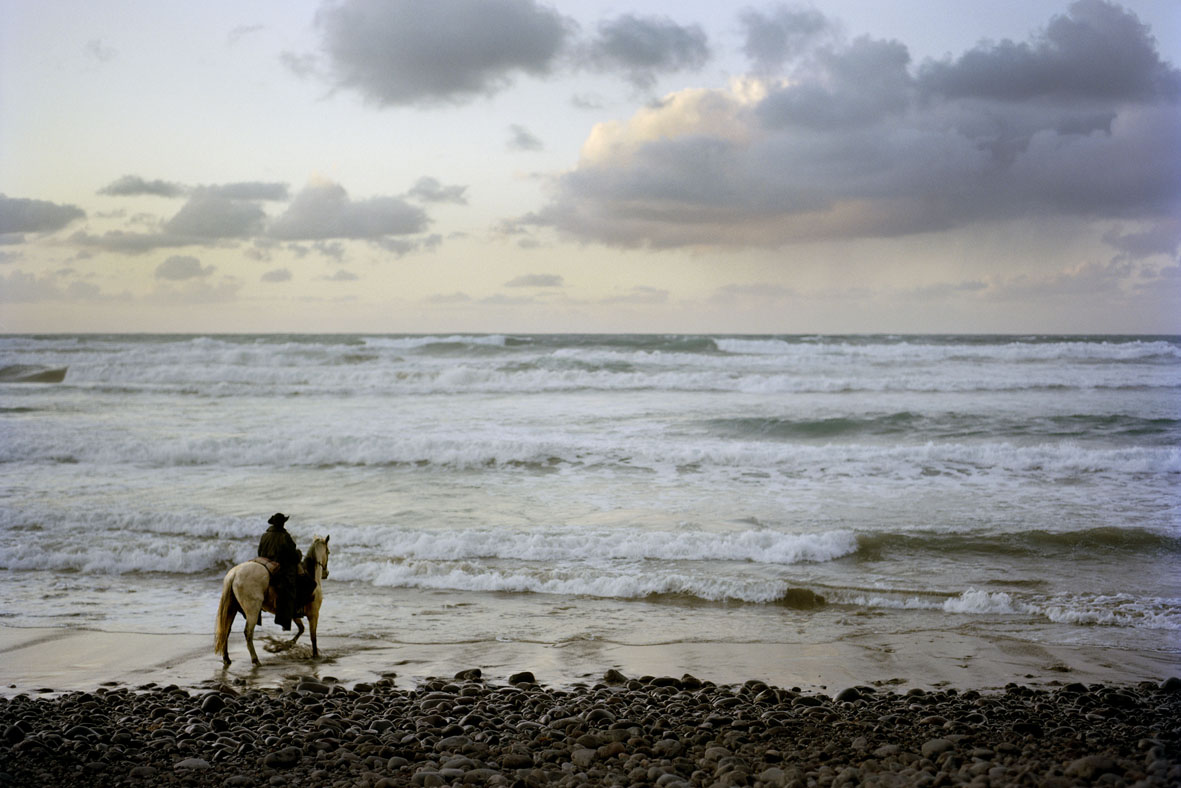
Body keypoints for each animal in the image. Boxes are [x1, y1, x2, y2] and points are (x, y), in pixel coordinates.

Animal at [213, 536, 330, 666]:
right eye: (328, 552)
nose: (326, 573)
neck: (311, 574)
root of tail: (234, 574)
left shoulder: (294, 614)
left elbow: (301, 629)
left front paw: (287, 644)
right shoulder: (314, 614)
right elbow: (313, 637)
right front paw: (315, 655)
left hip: (232, 609)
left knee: (226, 631)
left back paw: (226, 658)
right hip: (252, 611)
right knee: (248, 633)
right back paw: (255, 660)